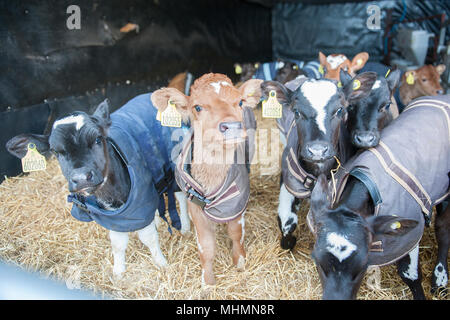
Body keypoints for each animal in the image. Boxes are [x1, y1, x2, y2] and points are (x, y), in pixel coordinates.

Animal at [6, 95, 191, 278]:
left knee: (181, 196)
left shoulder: (140, 201)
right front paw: (119, 271)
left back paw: (185, 226)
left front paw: (161, 263)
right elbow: (118, 243)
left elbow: (149, 237)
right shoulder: (114, 216)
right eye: (56, 151)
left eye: (97, 139)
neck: (111, 195)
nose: (81, 178)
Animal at [152, 73, 262, 284]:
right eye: (197, 107)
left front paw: (240, 261)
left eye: (240, 102)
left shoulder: (236, 202)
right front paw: (208, 280)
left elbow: (236, 234)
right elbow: (206, 245)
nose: (232, 126)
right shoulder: (195, 206)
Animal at [262, 72, 378, 250]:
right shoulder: (288, 180)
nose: (317, 150)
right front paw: (288, 241)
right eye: (296, 112)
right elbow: (287, 221)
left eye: (340, 110)